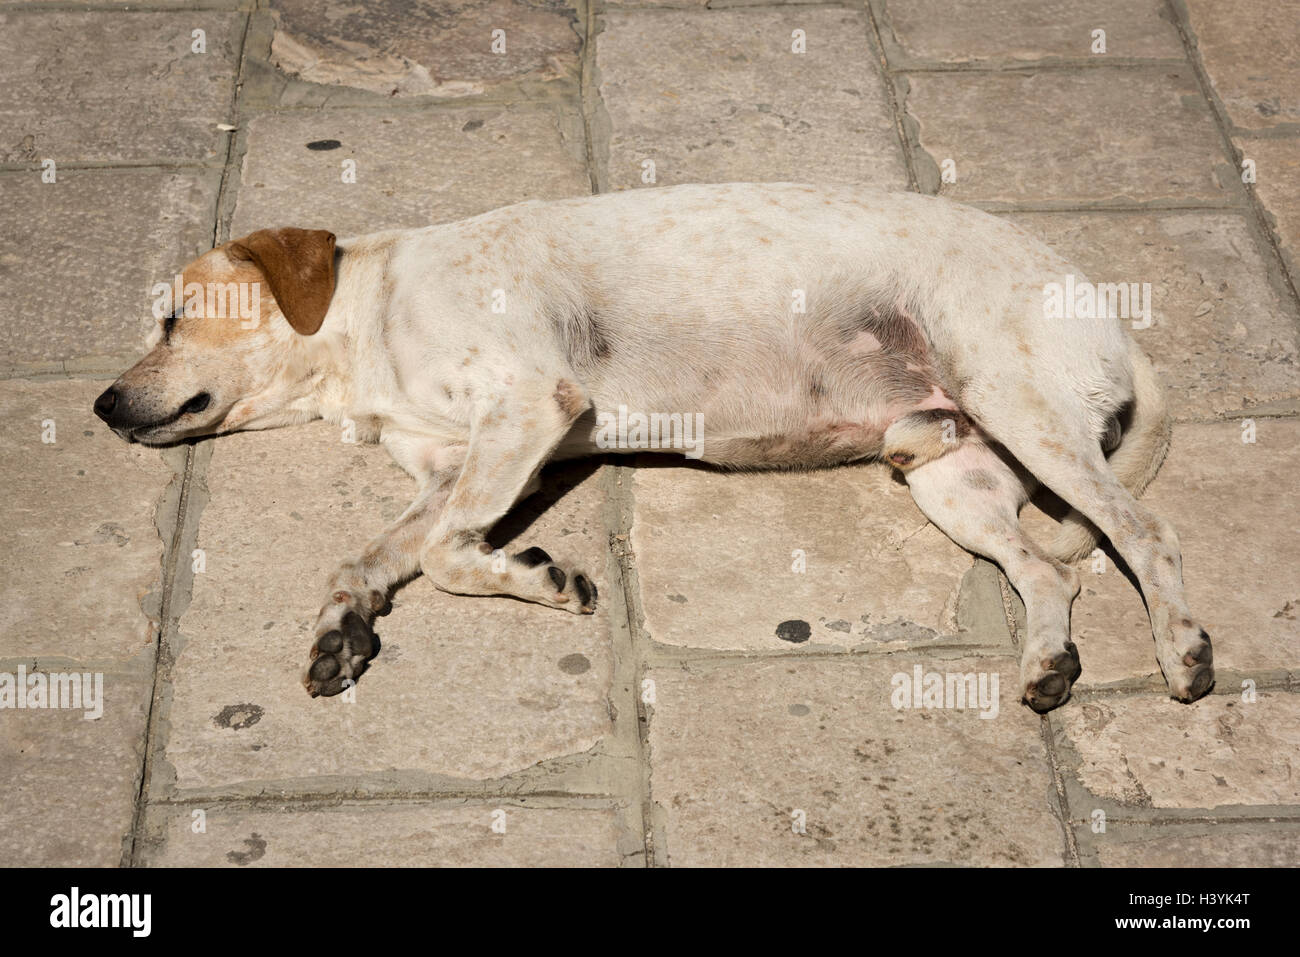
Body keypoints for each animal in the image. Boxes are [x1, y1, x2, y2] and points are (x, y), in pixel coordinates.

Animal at [96, 184, 1211, 712]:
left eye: (172, 317)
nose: (102, 406)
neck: (367, 329)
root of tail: (1113, 318)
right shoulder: (457, 467)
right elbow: (375, 556)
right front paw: (342, 627)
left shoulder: (529, 411)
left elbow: (453, 554)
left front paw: (542, 577)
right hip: (956, 479)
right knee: (1048, 572)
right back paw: (1048, 664)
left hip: (1022, 412)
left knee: (1149, 535)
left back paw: (1184, 648)